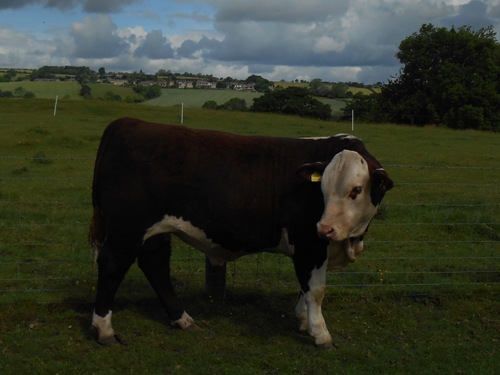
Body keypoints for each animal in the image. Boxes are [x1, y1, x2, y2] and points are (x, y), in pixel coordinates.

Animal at [91, 118, 394, 350]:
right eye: (323, 188)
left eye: (356, 190)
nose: (325, 228)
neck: (349, 241)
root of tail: (130, 122)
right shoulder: (309, 245)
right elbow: (316, 290)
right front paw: (320, 333)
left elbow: (305, 287)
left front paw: (302, 320)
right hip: (126, 229)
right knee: (112, 265)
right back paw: (104, 329)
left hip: (154, 232)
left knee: (155, 265)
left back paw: (182, 319)